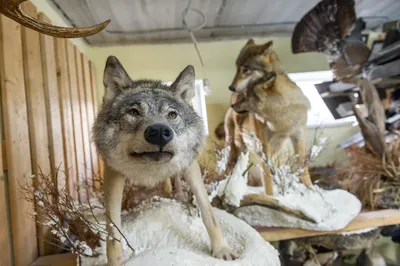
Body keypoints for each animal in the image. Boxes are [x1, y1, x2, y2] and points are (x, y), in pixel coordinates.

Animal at [93, 55, 238, 264]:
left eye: (172, 114)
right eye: (134, 112)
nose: (160, 132)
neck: (151, 171)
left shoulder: (190, 167)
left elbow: (208, 213)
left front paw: (221, 250)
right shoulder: (113, 174)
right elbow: (113, 234)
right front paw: (115, 262)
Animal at [228, 39, 312, 189]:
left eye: (246, 69)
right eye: (237, 68)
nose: (231, 88)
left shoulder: (298, 136)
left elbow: (304, 170)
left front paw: (313, 192)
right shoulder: (263, 145)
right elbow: (267, 180)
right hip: (240, 147)